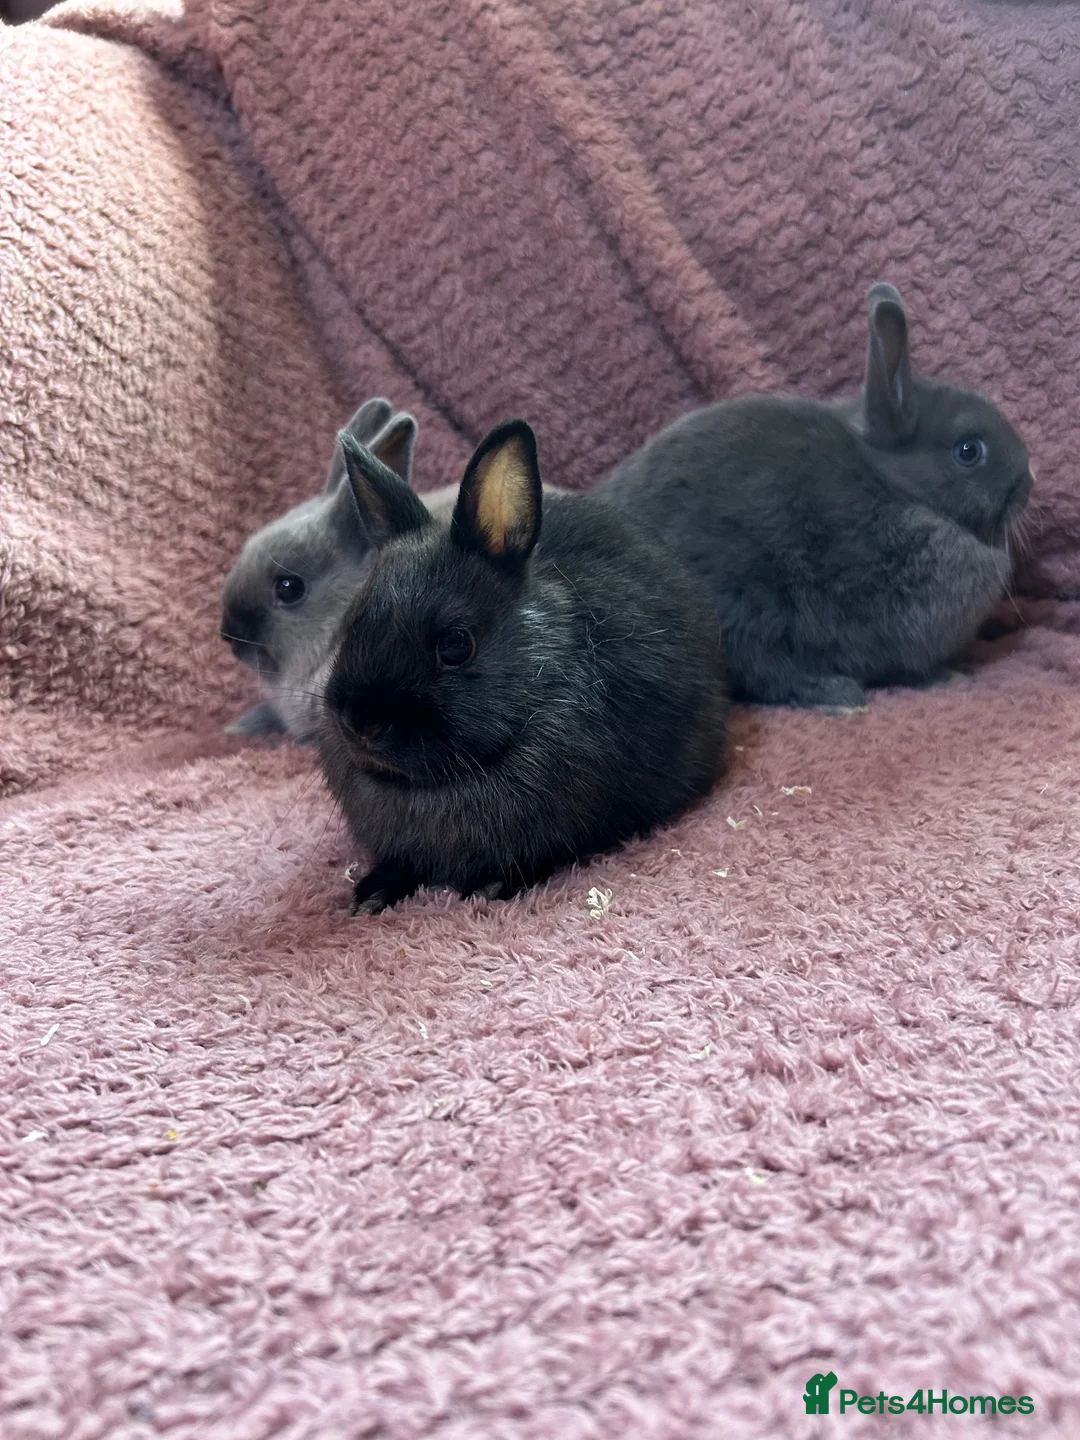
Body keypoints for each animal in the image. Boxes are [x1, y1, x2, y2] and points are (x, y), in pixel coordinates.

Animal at [600, 282, 1034, 709]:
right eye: (968, 450)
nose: (1029, 482)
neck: (896, 487)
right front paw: (945, 675)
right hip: (742, 599)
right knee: (765, 670)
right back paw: (836, 693)